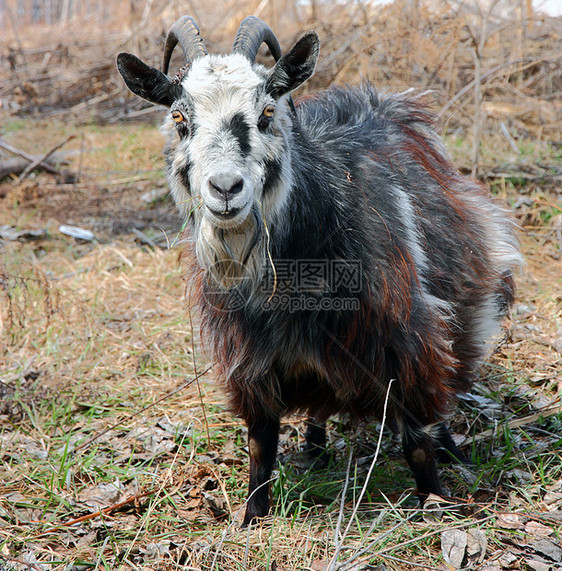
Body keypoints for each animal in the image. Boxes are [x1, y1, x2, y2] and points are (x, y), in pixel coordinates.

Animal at [117, 15, 520, 528]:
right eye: (179, 118)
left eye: (267, 111)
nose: (225, 188)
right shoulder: (250, 358)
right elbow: (260, 445)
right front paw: (252, 518)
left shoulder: (404, 341)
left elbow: (415, 440)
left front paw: (435, 501)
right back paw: (314, 445)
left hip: (466, 303)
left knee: (445, 382)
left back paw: (449, 445)